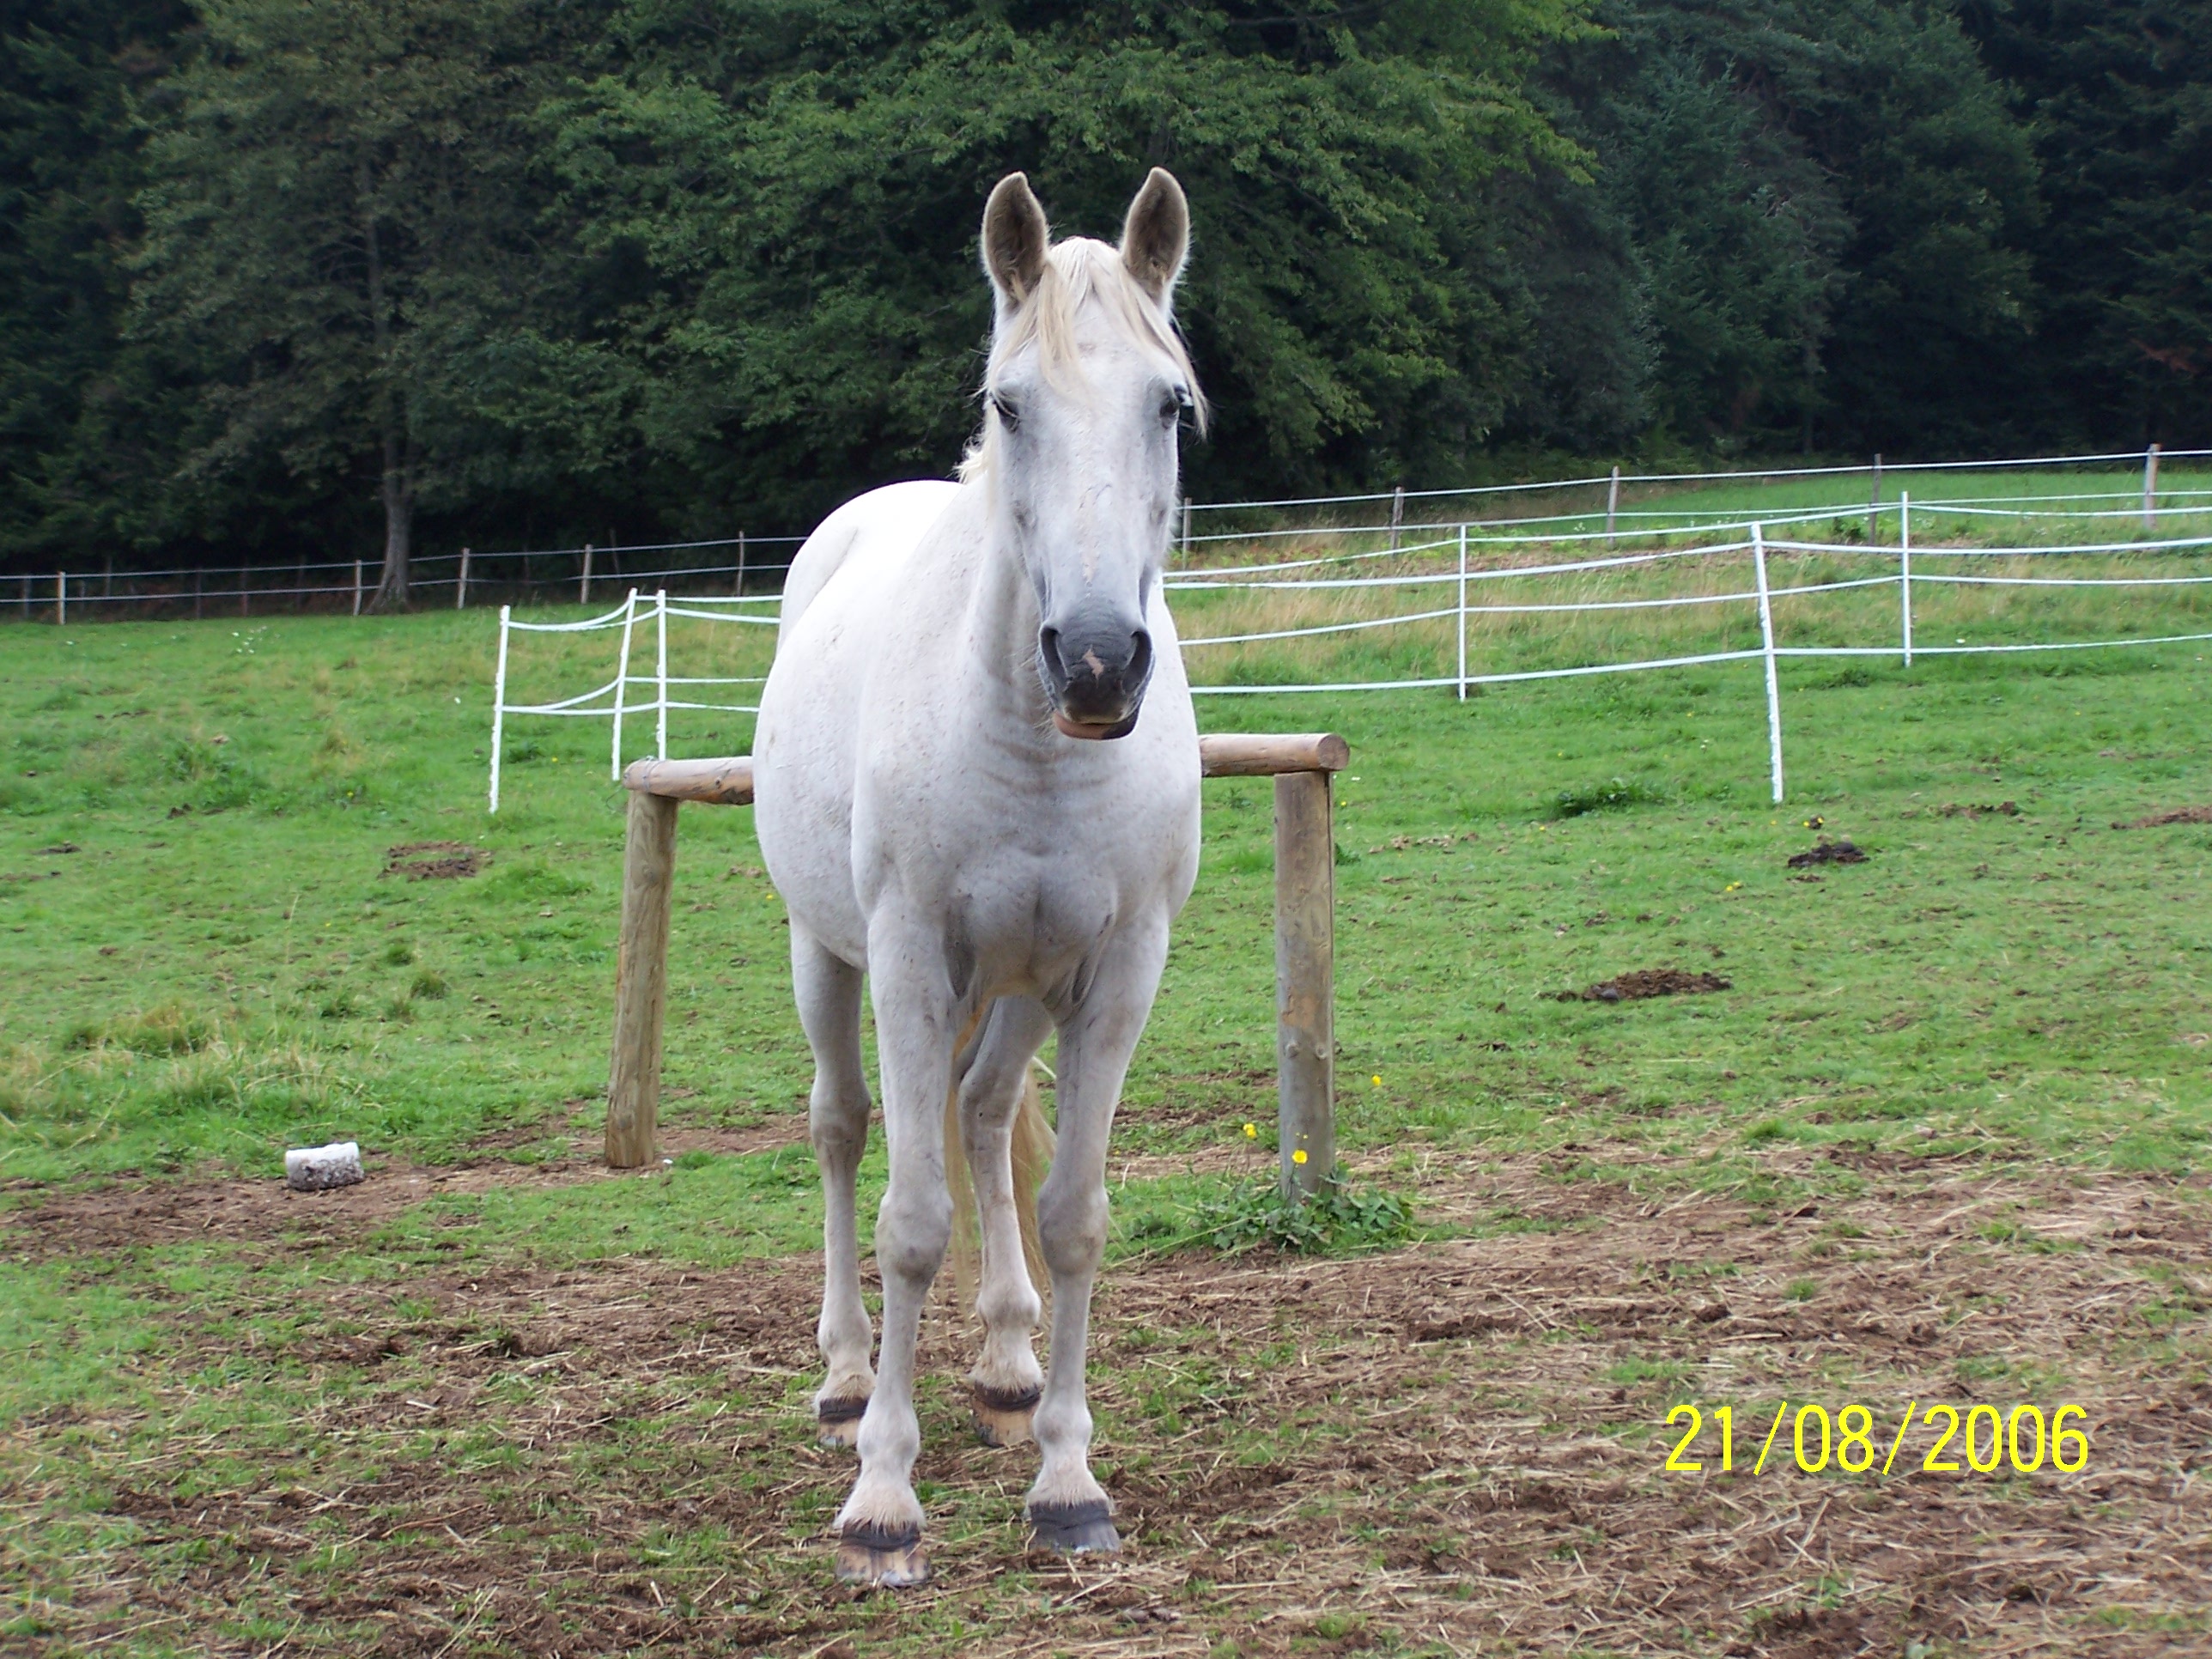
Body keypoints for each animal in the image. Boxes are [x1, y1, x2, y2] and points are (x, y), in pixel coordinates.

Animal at [752, 168, 1205, 1588]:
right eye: (1010, 404)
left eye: (1169, 404)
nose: (1101, 662)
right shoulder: (906, 962)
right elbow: (909, 1220)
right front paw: (883, 1498)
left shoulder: (1119, 975)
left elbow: (1072, 1216)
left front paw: (1067, 1479)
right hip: (827, 956)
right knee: (843, 1129)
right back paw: (848, 1377)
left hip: (1011, 985)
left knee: (988, 1113)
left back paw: (1006, 1361)